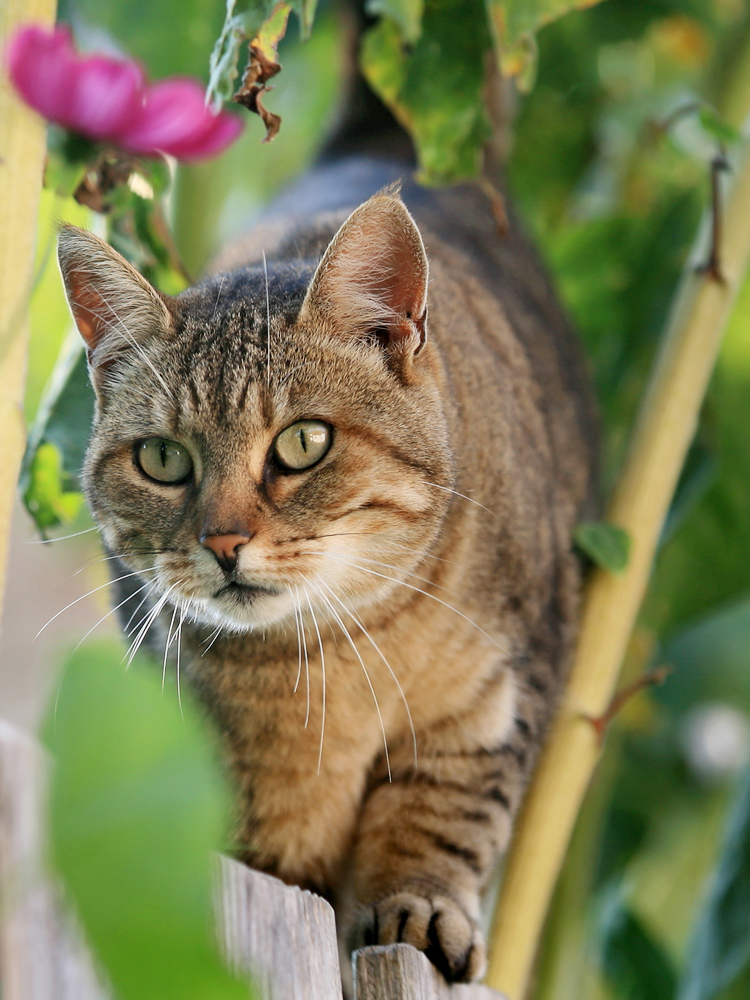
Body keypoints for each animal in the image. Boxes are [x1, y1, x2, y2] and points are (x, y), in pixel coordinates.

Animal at [57, 64, 600, 992]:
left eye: (303, 443)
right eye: (163, 459)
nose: (224, 542)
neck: (329, 658)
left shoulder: (496, 704)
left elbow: (442, 819)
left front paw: (419, 907)